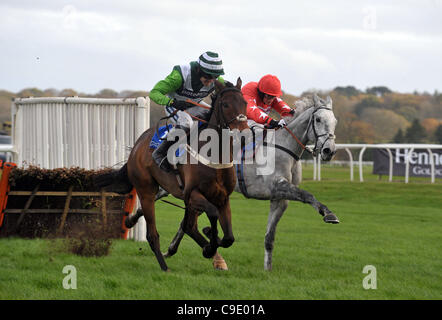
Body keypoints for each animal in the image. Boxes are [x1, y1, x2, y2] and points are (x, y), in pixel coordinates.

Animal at [94, 77, 249, 270]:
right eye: (226, 104)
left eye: (245, 103)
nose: (244, 134)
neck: (214, 156)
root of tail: (138, 144)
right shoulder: (192, 194)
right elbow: (212, 214)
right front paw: (210, 245)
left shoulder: (222, 197)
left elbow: (229, 238)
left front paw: (211, 246)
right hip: (146, 190)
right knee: (153, 234)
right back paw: (164, 266)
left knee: (189, 226)